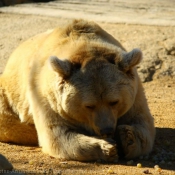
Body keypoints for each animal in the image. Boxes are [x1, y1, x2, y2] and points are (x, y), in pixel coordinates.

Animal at [0, 19, 156, 162]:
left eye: (114, 102)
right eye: (89, 106)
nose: (106, 130)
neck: (84, 43)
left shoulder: (135, 92)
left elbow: (142, 122)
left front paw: (126, 138)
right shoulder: (46, 97)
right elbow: (58, 135)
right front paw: (107, 148)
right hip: (9, 93)